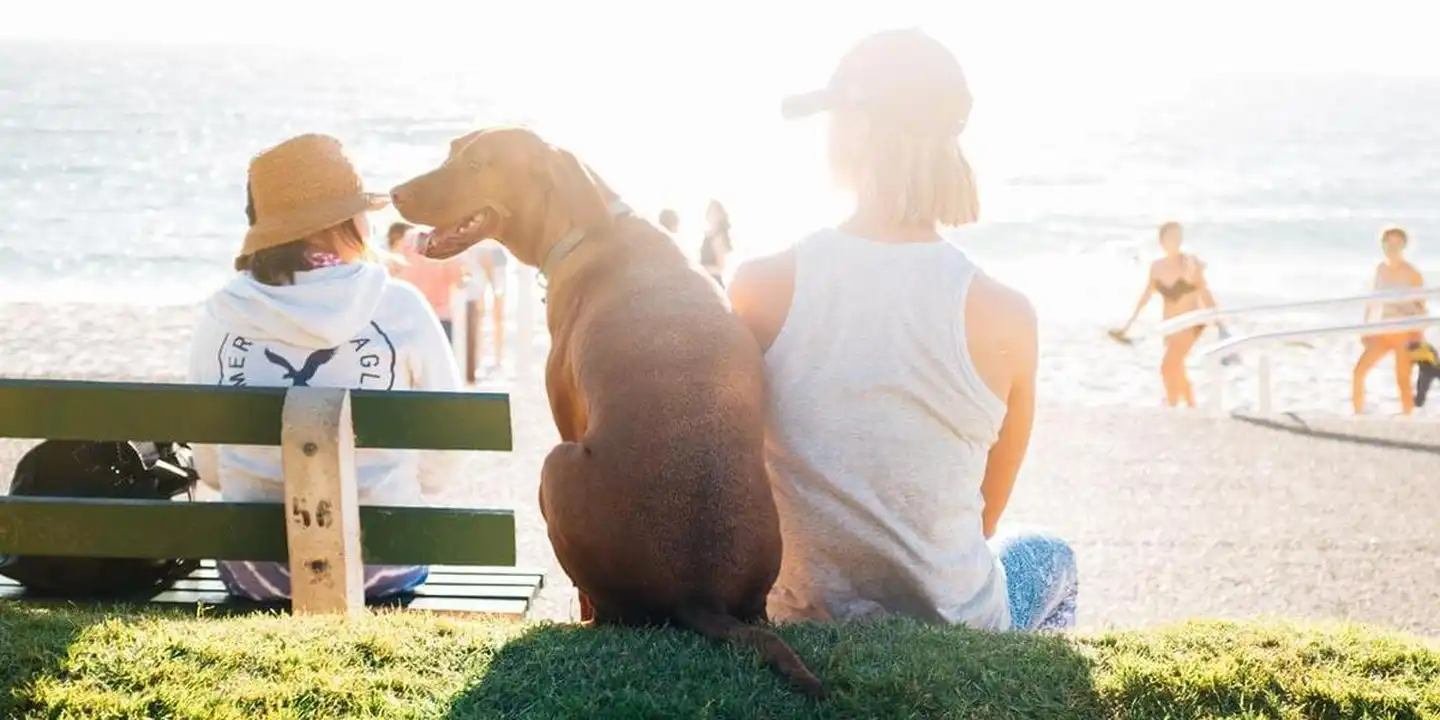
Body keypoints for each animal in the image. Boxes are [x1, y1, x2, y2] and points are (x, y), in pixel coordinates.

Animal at [391, 125, 823, 696]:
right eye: (450, 153)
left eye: (478, 164)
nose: (394, 193)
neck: (588, 226)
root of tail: (699, 593)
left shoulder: (565, 417)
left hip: (555, 466)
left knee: (603, 607)